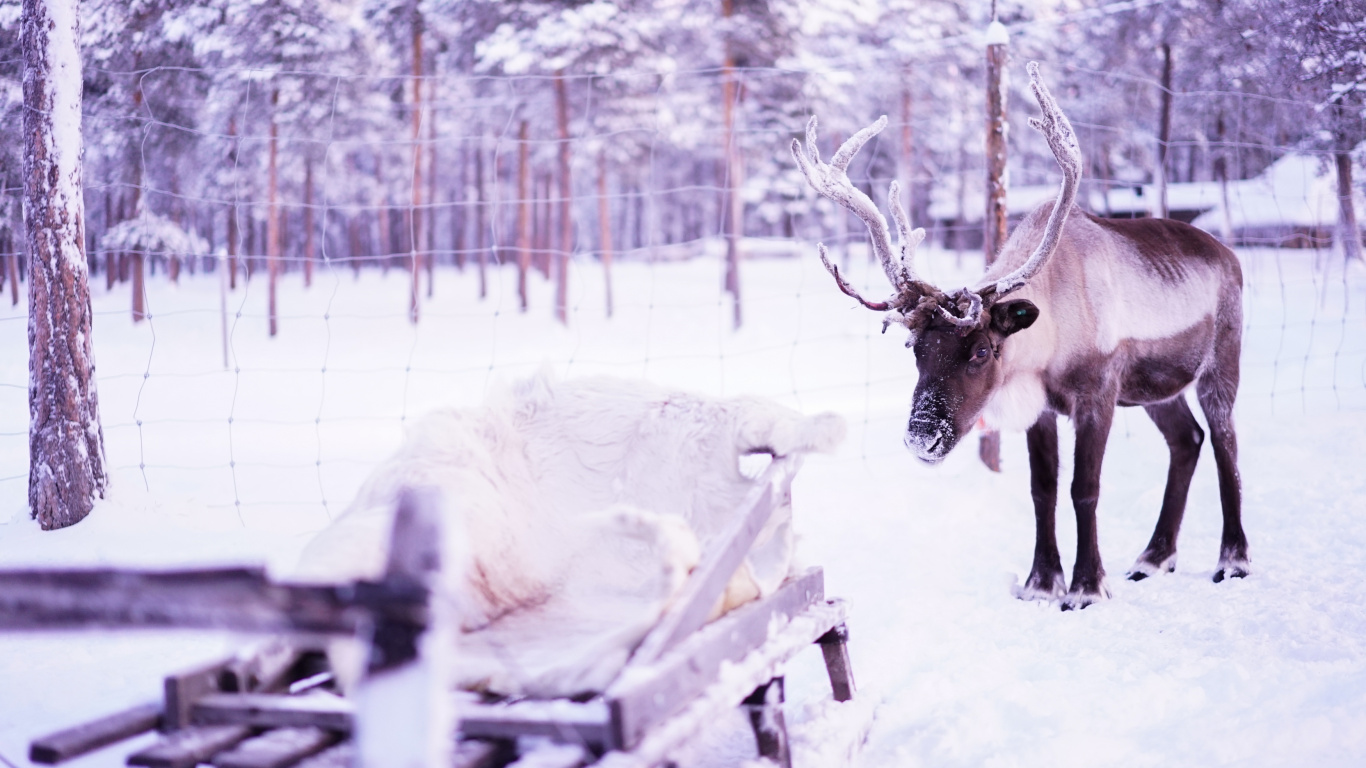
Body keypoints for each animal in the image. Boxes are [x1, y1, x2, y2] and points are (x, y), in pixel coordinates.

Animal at [792, 62, 1248, 609]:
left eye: (982, 350)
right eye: (915, 348)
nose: (922, 438)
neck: (1049, 341)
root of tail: (1229, 254)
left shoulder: (1098, 394)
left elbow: (1084, 488)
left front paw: (1086, 587)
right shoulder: (1042, 407)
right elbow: (1042, 489)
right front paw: (1041, 583)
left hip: (1220, 363)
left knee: (1224, 442)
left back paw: (1232, 560)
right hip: (1156, 390)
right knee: (1187, 440)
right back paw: (1154, 557)